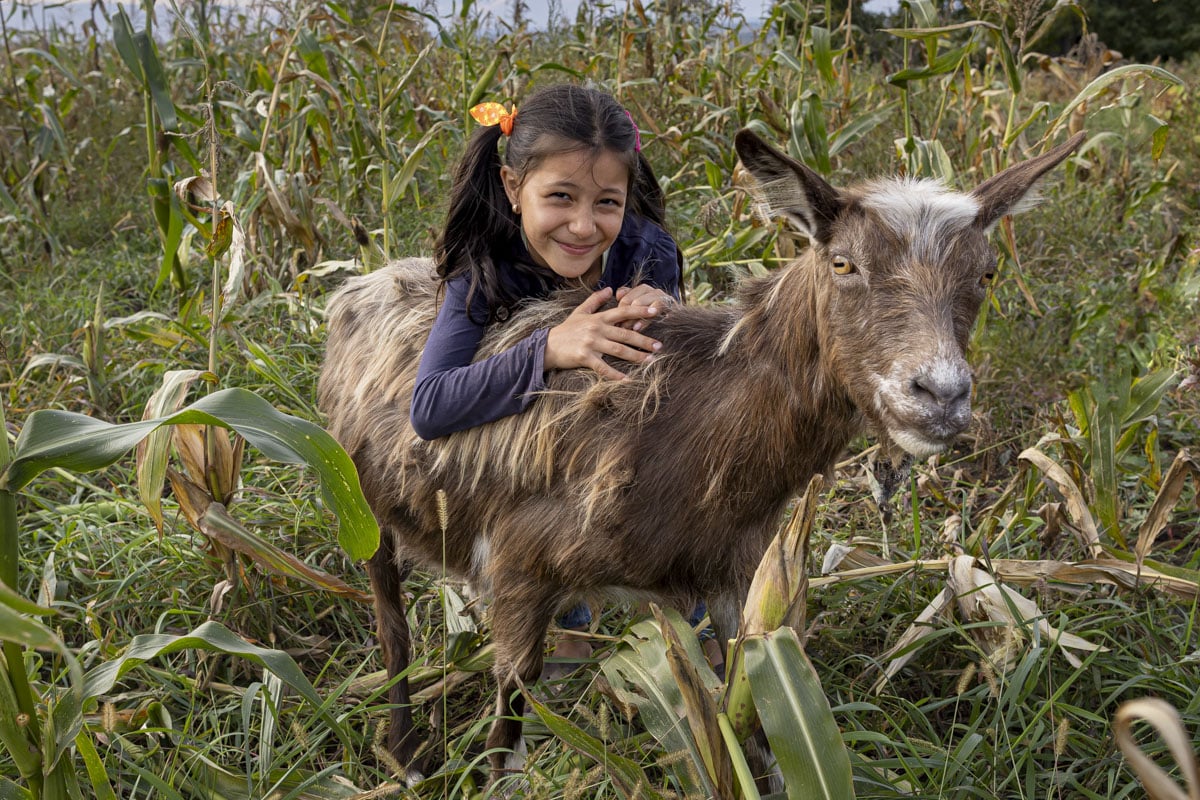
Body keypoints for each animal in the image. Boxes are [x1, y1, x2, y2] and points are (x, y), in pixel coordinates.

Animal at [314, 128, 1084, 786]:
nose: (940, 395)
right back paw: (405, 753)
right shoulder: (520, 566)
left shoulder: (737, 577)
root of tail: (364, 282)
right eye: (843, 262)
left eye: (986, 273)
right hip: (363, 507)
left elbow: (749, 714)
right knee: (391, 624)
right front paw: (492, 775)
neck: (693, 419)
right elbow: (509, 707)